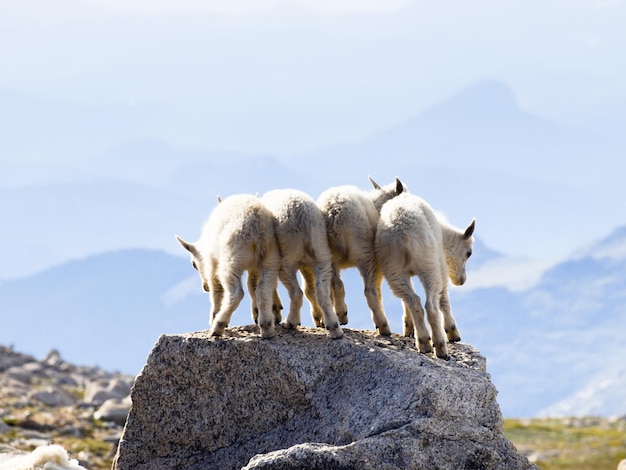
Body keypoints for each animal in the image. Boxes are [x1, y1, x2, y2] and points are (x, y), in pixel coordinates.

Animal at [174, 194, 280, 338]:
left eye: (193, 264)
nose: (205, 287)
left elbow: (217, 289)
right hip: (270, 259)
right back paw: (267, 327)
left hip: (232, 259)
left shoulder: (212, 263)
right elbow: (252, 285)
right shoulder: (255, 268)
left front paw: (214, 316)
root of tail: (260, 230)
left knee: (237, 292)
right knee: (263, 290)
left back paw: (218, 325)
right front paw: (256, 313)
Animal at [260, 189, 344, 340]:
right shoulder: (307, 264)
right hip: (321, 251)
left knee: (296, 292)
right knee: (321, 290)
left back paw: (290, 322)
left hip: (287, 256)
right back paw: (334, 327)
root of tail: (303, 220)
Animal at [316, 176, 404, 334]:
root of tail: (333, 212)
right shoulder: (377, 263)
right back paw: (383, 326)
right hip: (363, 250)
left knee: (335, 285)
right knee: (369, 291)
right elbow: (377, 291)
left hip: (327, 252)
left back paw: (339, 316)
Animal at [372, 193, 470, 358]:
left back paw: (423, 341)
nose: (462, 280)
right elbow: (444, 298)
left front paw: (409, 328)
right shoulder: (441, 263)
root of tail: (402, 233)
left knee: (413, 301)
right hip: (429, 264)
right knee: (431, 305)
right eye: (469, 253)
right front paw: (453, 332)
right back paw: (440, 346)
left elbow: (405, 302)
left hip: (393, 268)